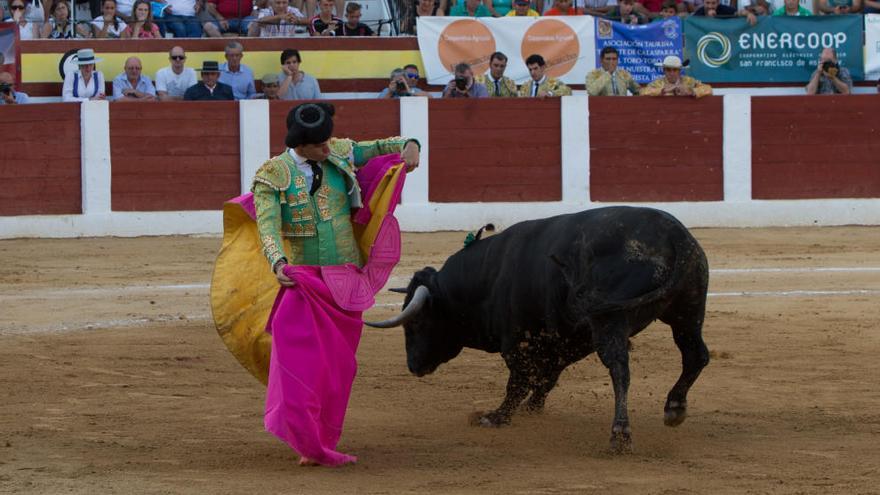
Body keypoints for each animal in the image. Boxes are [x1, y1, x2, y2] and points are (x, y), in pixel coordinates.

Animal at [368, 206, 712, 454]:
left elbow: (518, 381)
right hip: (687, 311)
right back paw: (674, 408)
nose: (413, 366)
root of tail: (676, 236)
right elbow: (547, 377)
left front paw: (496, 417)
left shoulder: (516, 341)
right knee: (696, 355)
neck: (488, 278)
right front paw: (532, 409)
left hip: (611, 321)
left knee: (620, 369)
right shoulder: (568, 338)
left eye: (416, 322)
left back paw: (620, 436)